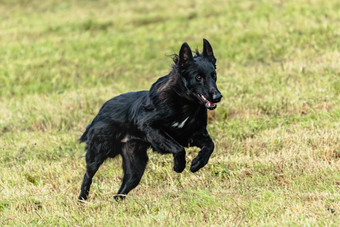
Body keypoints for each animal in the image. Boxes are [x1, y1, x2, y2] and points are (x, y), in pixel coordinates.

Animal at [79, 39, 223, 200]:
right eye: (199, 78)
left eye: (214, 75)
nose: (218, 97)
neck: (184, 102)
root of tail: (100, 111)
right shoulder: (151, 128)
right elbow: (178, 149)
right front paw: (179, 166)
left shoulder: (193, 134)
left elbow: (210, 145)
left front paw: (197, 163)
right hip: (98, 152)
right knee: (88, 176)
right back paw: (82, 199)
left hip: (135, 167)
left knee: (120, 191)